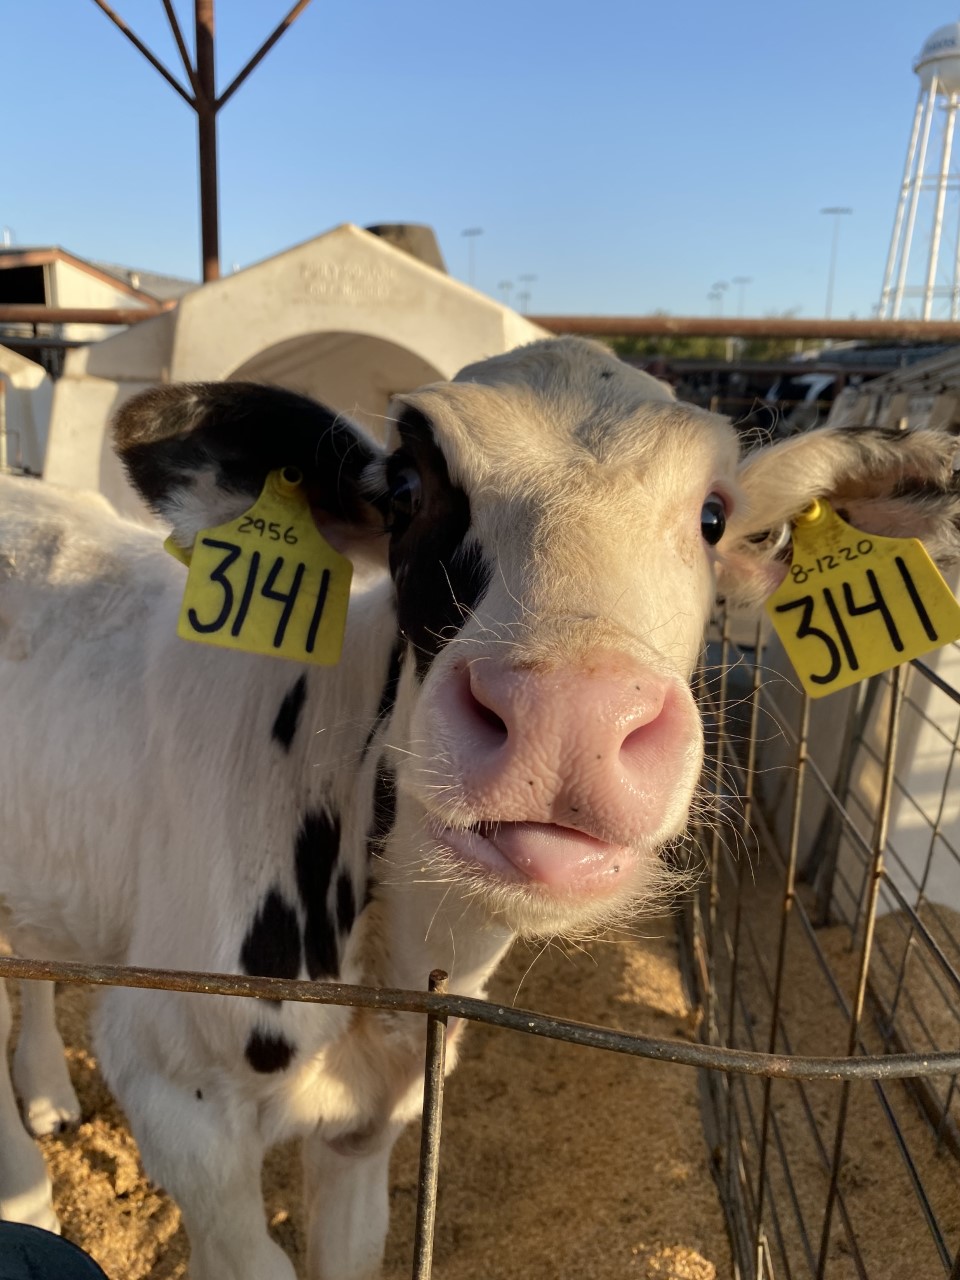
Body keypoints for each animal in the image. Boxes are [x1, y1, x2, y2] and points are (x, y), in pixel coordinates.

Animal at [1, 337, 959, 1280]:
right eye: (408, 491)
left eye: (713, 517)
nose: (568, 714)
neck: (386, 974)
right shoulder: (175, 1086)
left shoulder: (373, 1118)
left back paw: (46, 1094)